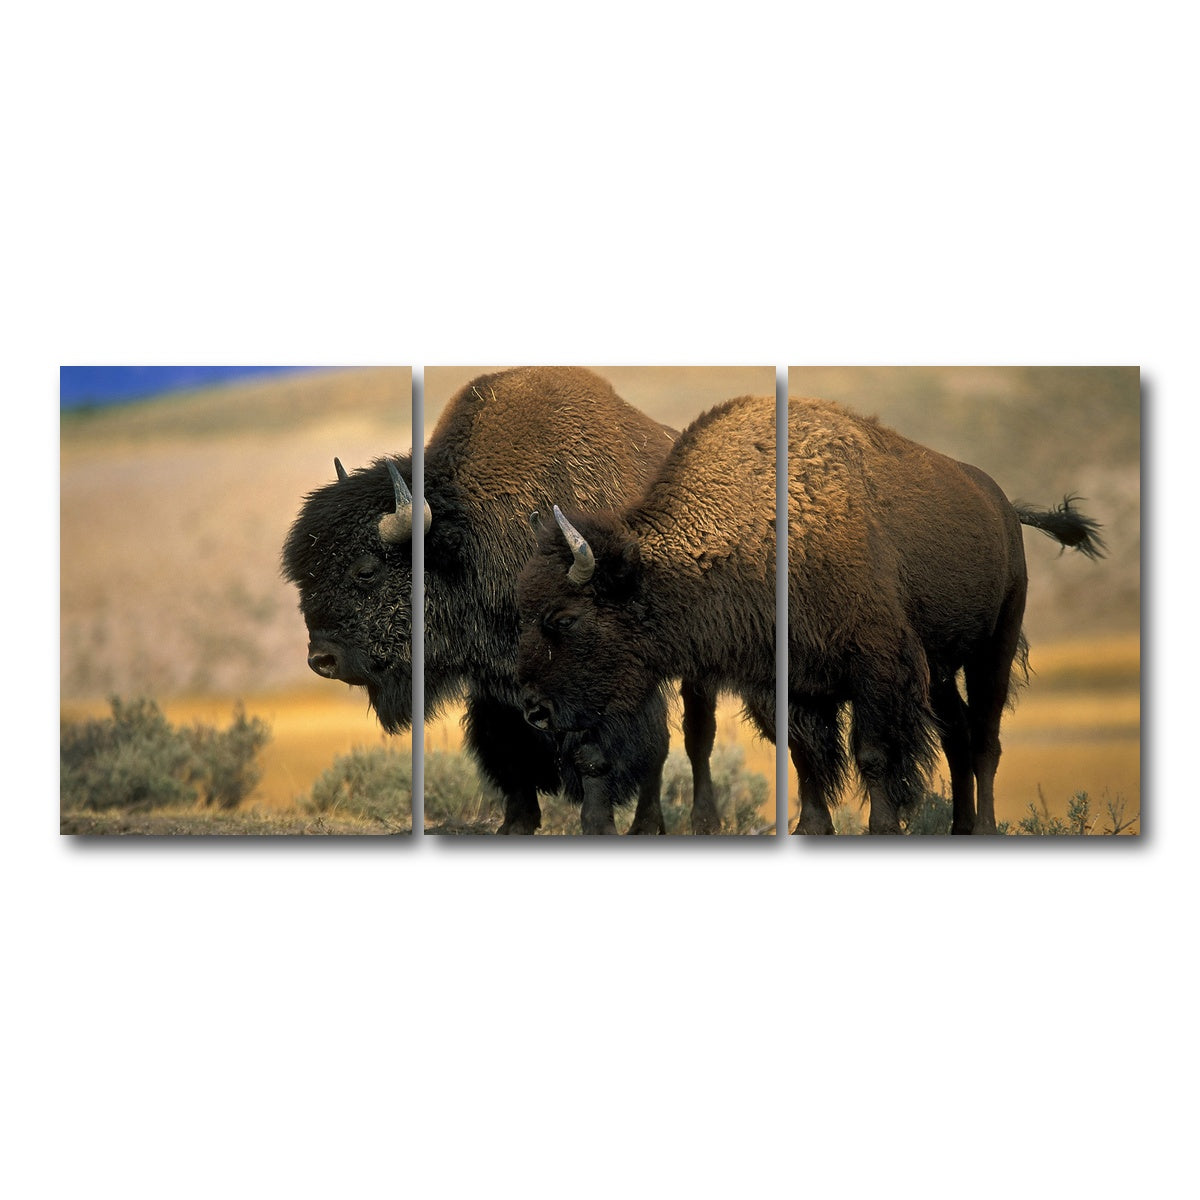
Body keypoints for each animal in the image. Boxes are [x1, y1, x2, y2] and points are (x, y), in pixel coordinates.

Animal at [281, 365, 721, 834]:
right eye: (305, 577)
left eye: (366, 570)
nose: (321, 659)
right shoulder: (495, 683)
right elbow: (509, 749)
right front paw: (515, 824)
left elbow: (598, 751)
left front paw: (598, 825)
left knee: (692, 735)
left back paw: (691, 821)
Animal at [515, 393, 1104, 835]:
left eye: (565, 620)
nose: (534, 710)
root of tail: (1002, 505)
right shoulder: (790, 685)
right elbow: (806, 755)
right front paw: (811, 826)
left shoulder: (877, 669)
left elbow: (873, 753)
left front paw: (883, 828)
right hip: (939, 669)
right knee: (956, 734)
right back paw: (959, 828)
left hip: (993, 649)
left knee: (984, 738)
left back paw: (983, 827)